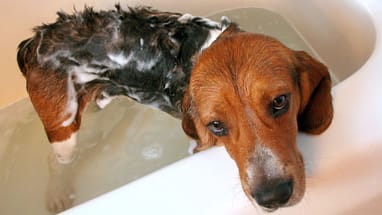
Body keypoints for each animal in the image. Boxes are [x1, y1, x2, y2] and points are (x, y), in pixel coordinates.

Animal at [16, 4, 332, 212]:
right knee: (56, 160)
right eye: (216, 125)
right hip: (63, 127)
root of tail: (33, 42)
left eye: (280, 102)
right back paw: (57, 194)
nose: (273, 196)